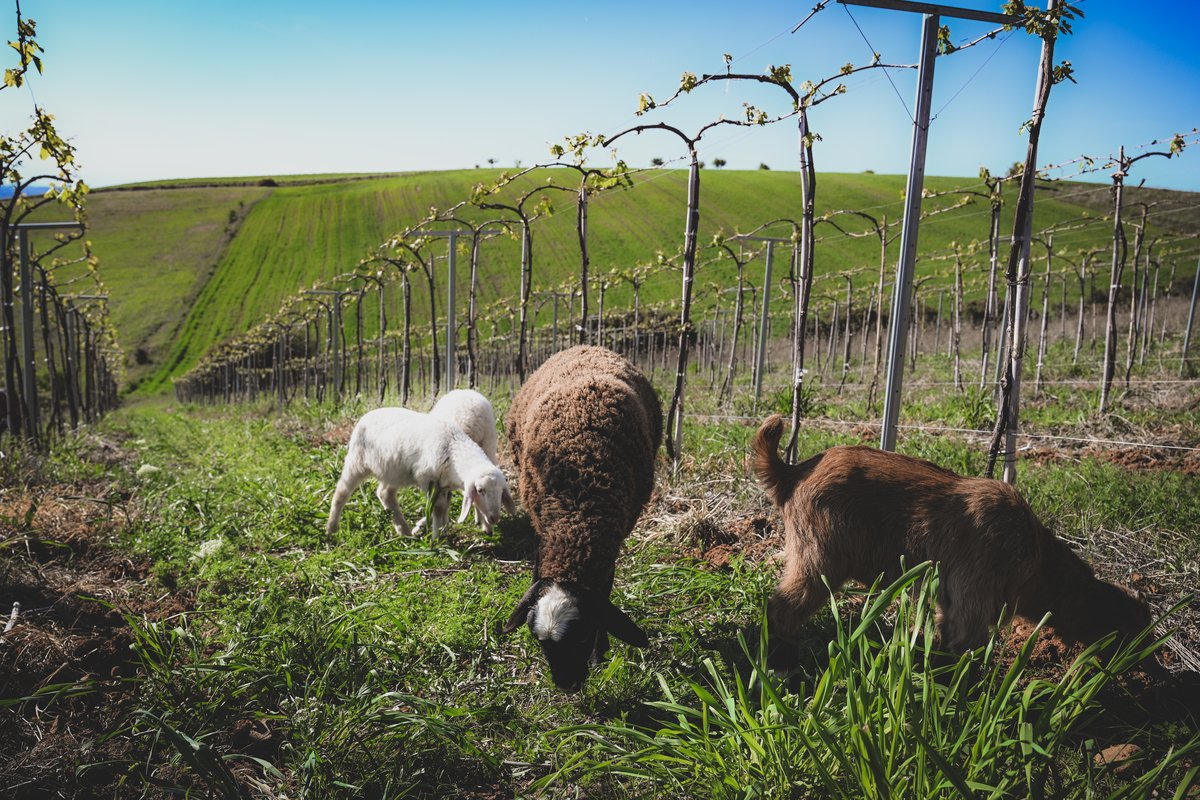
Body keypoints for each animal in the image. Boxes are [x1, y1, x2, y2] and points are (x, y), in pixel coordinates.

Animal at [325, 407, 514, 538]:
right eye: (480, 490)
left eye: (501, 492)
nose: (494, 518)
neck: (453, 447)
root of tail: (367, 414)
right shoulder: (426, 478)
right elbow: (438, 508)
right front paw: (436, 537)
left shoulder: (443, 484)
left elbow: (443, 507)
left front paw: (438, 530)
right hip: (357, 461)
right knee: (342, 491)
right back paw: (331, 528)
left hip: (394, 471)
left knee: (384, 493)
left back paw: (404, 531)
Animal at [502, 345, 662, 691]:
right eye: (540, 642)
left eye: (583, 635)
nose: (567, 686)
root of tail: (584, 346)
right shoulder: (541, 527)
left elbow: (606, 592)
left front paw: (599, 655)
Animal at [751, 413, 1153, 666]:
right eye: (1136, 633)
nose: (1150, 660)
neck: (1037, 559)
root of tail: (793, 472)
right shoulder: (974, 599)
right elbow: (964, 650)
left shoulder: (949, 602)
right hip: (820, 559)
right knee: (782, 609)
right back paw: (781, 662)